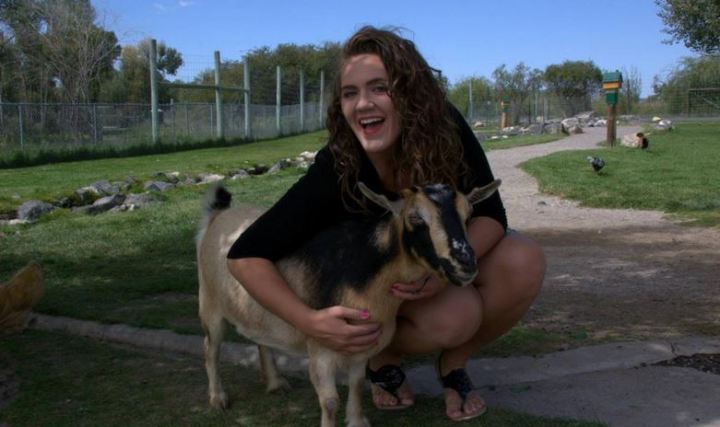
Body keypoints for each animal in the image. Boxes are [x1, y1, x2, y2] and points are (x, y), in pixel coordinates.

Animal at [197, 180, 500, 427]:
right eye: (415, 218)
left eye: (468, 214)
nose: (465, 264)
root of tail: (217, 216)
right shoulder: (320, 346)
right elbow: (330, 401)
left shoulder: (362, 346)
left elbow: (356, 384)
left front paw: (357, 421)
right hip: (209, 302)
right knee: (210, 348)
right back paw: (218, 399)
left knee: (259, 337)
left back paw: (275, 383)